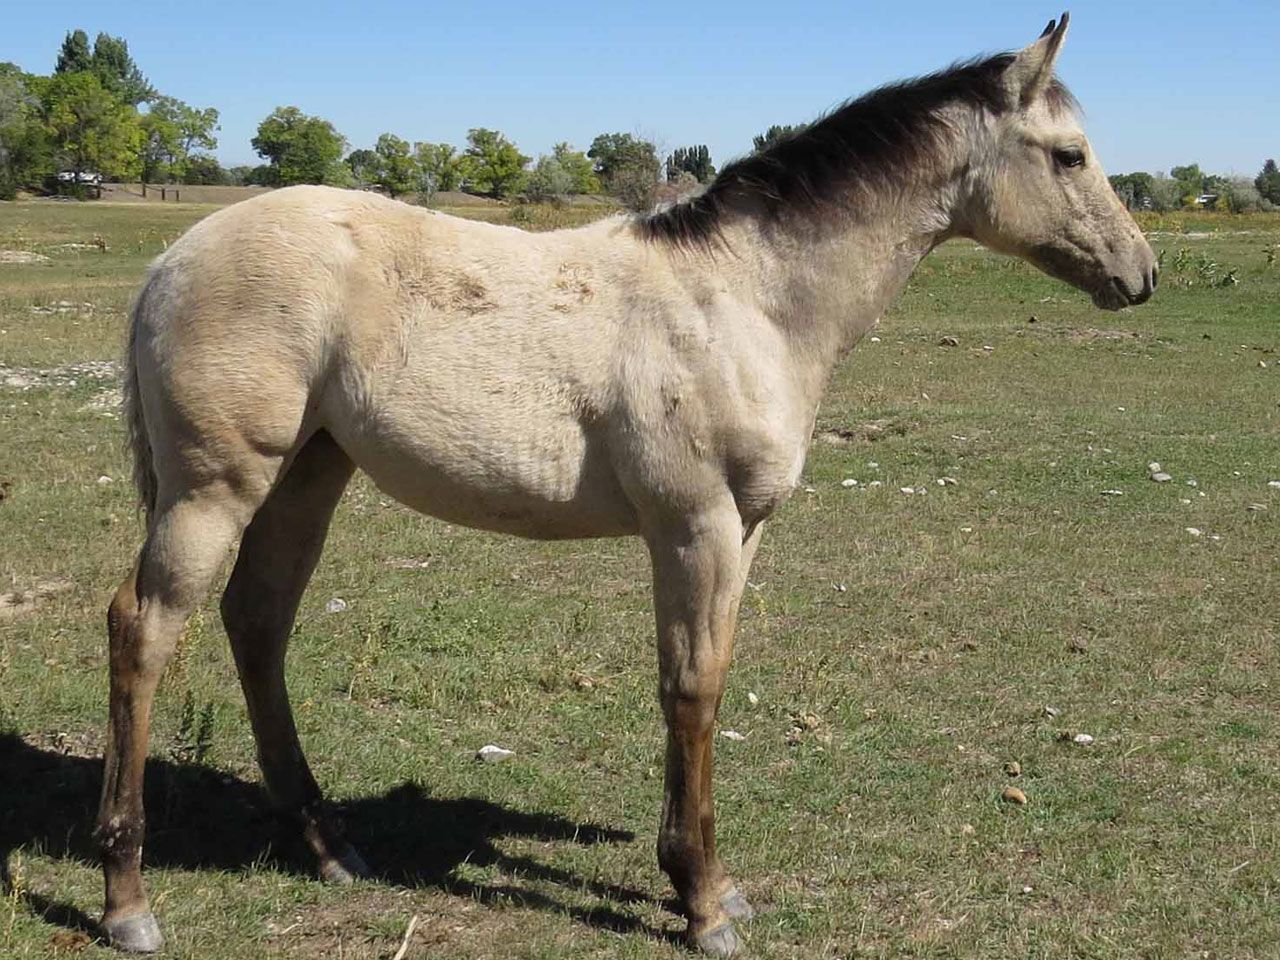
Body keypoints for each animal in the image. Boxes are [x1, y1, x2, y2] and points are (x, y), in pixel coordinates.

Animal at [95, 13, 1155, 955]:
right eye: (1070, 155)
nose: (1141, 273)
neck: (747, 299)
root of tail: (172, 259)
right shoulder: (694, 524)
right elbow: (691, 690)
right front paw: (701, 903)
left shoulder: (742, 531)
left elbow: (708, 680)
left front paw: (710, 884)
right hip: (215, 489)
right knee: (144, 630)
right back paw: (126, 898)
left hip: (311, 472)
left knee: (257, 620)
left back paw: (327, 845)